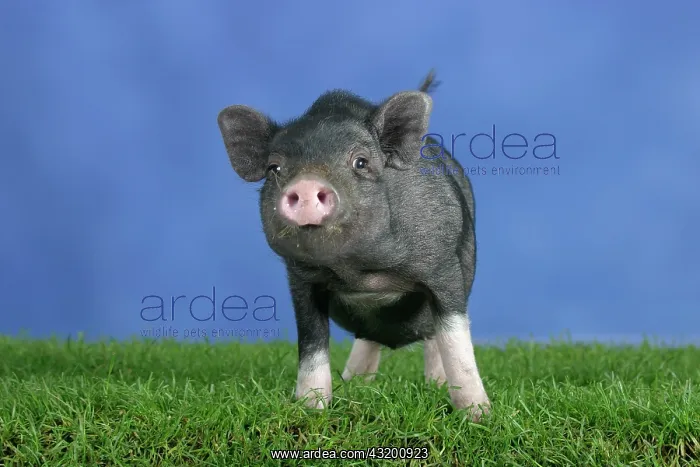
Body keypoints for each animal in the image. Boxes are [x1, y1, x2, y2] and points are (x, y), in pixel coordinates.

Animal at [217, 70, 490, 421]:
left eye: (361, 162)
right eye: (274, 168)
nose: (306, 185)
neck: (361, 272)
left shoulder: (444, 268)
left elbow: (456, 341)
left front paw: (478, 416)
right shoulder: (301, 282)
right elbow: (312, 345)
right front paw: (311, 409)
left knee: (431, 338)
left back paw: (434, 386)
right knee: (367, 339)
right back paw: (355, 384)